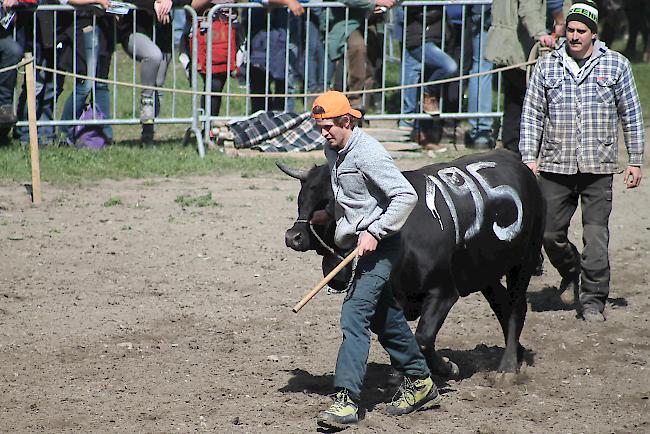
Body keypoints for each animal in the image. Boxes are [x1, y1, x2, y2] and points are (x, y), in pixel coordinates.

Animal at [278, 149, 540, 376]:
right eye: (302, 199)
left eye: (328, 203)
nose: (293, 237)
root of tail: (518, 163)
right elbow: (403, 339)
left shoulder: (443, 291)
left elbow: (422, 337)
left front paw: (445, 368)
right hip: (485, 270)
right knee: (502, 305)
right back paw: (517, 353)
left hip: (524, 262)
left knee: (517, 307)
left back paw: (508, 367)